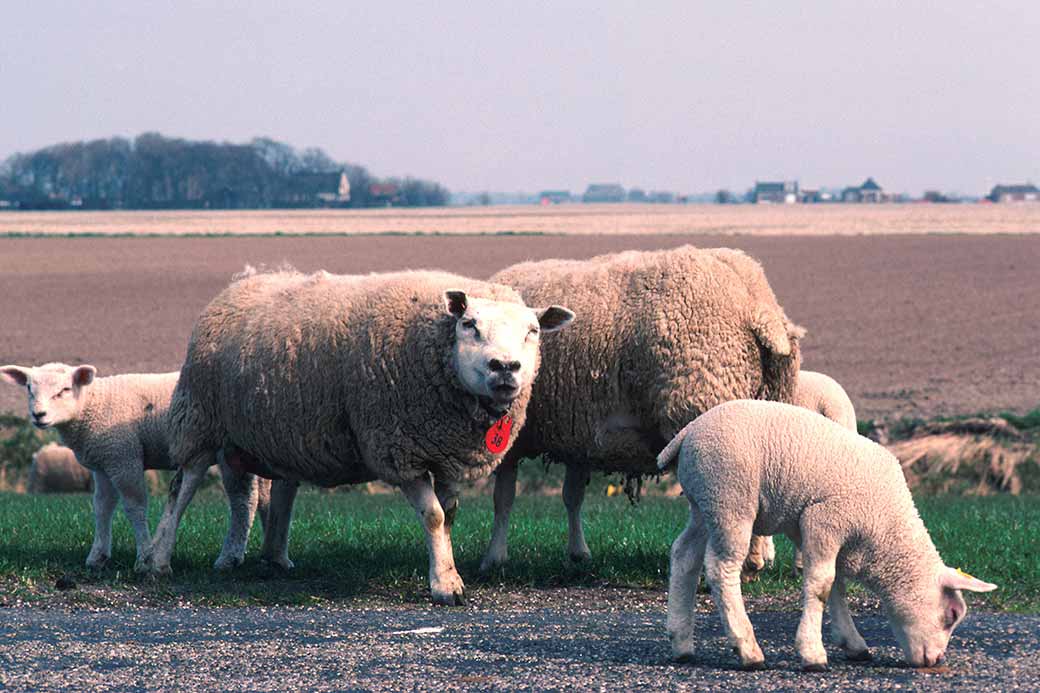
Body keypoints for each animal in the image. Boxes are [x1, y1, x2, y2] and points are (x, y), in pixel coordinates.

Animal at [0, 364, 272, 570]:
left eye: (65, 390)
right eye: (29, 388)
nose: (39, 415)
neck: (93, 405)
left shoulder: (124, 457)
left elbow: (134, 507)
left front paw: (143, 556)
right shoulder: (104, 465)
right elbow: (102, 508)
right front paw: (97, 556)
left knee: (243, 500)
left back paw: (230, 557)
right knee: (260, 498)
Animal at [144, 266, 578, 603]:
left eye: (533, 330)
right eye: (469, 325)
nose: (504, 367)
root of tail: (243, 282)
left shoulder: (449, 453)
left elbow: (449, 516)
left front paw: (447, 569)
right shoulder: (397, 447)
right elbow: (434, 516)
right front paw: (445, 587)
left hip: (280, 431)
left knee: (261, 493)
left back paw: (268, 557)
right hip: (200, 418)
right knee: (183, 488)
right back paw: (159, 560)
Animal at [478, 244, 802, 570]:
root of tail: (756, 302)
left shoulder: (519, 432)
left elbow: (503, 497)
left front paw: (494, 557)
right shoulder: (578, 431)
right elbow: (571, 495)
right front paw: (578, 553)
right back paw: (756, 559)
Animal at [657, 399, 998, 670]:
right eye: (952, 615)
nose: (936, 661)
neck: (886, 533)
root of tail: (688, 431)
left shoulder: (819, 531)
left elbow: (836, 584)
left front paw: (852, 642)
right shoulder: (824, 520)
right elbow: (821, 584)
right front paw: (813, 653)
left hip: (704, 504)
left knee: (684, 555)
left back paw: (681, 642)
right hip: (730, 498)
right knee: (721, 567)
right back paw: (748, 650)